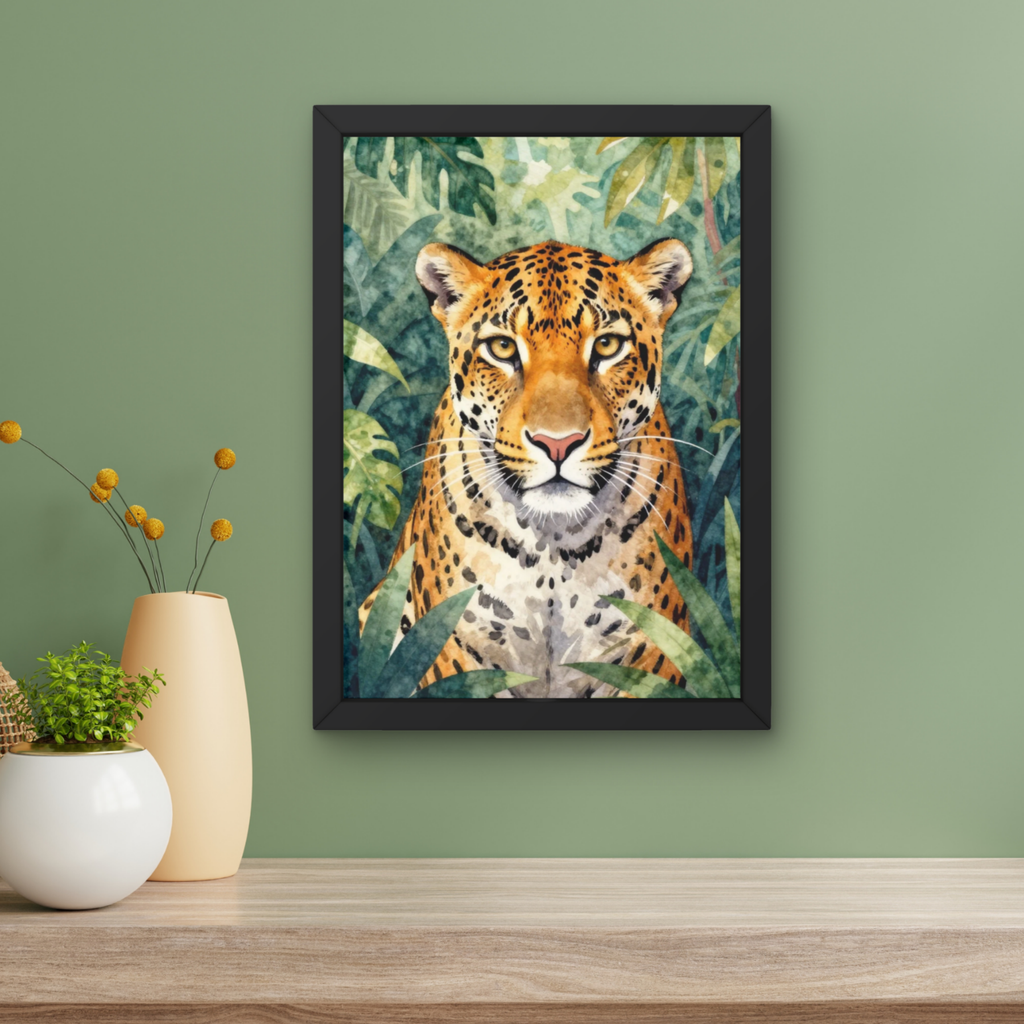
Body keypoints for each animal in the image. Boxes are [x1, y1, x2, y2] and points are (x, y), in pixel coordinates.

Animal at [358, 237, 696, 698]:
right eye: (502, 348)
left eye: (608, 346)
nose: (558, 443)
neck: (553, 542)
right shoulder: (451, 647)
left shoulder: (652, 649)